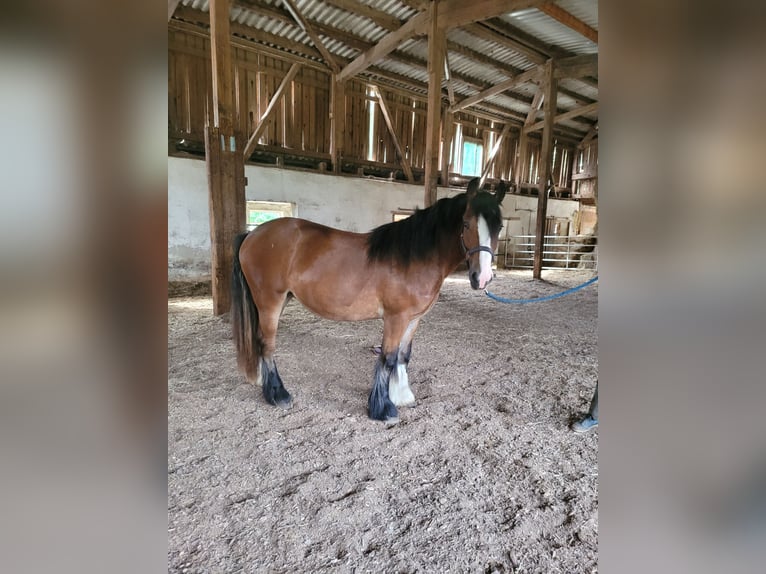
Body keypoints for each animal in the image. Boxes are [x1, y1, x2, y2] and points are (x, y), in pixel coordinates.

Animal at [234, 178, 510, 426]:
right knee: (267, 345)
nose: (482, 277)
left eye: (499, 227)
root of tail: (252, 235)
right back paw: (278, 394)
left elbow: (403, 356)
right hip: (270, 301)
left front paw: (401, 395)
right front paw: (383, 408)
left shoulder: (414, 319)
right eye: (466, 223)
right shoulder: (395, 318)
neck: (414, 257)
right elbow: (388, 358)